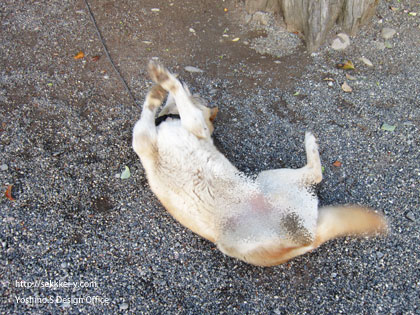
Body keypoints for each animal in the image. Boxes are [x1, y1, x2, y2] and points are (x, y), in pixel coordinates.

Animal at [132, 61, 388, 266]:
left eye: (198, 94)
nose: (186, 80)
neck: (169, 119)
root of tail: (311, 240)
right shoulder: (144, 137)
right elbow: (147, 111)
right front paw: (157, 91)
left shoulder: (190, 125)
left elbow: (165, 103)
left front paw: (163, 81)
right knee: (316, 175)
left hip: (268, 178)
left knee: (316, 174)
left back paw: (310, 142)